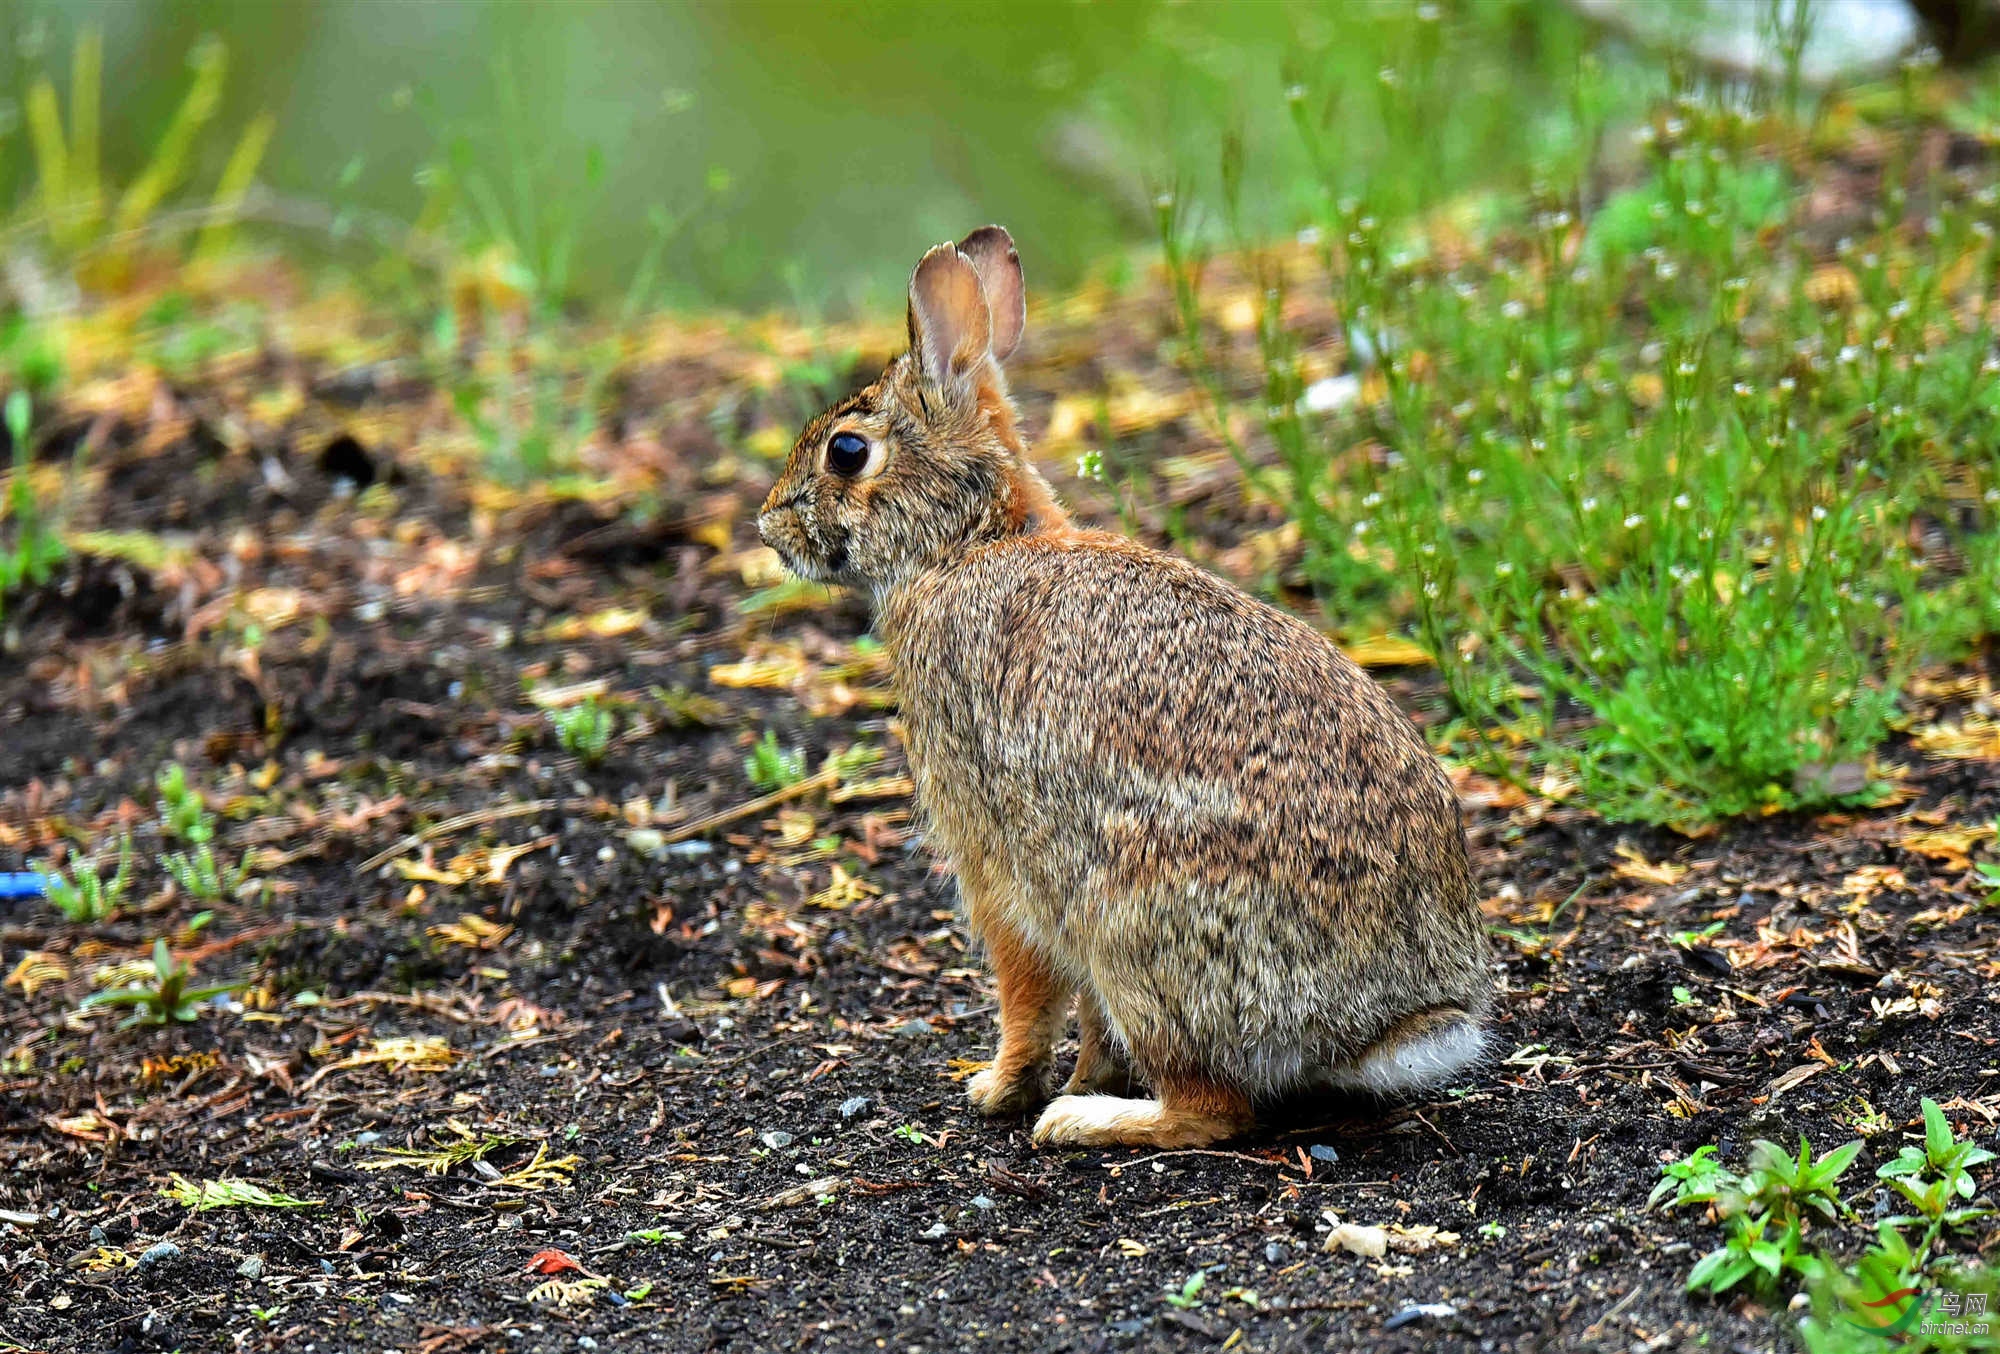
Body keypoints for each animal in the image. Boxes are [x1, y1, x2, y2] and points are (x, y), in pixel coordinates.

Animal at [756, 230, 1496, 1144]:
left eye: (847, 450)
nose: (768, 523)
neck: (968, 543)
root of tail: (1393, 1025)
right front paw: (1077, 1073)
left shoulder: (995, 858)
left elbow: (1025, 989)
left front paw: (1000, 1089)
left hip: (1131, 920)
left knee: (1211, 1109)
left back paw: (1086, 1121)